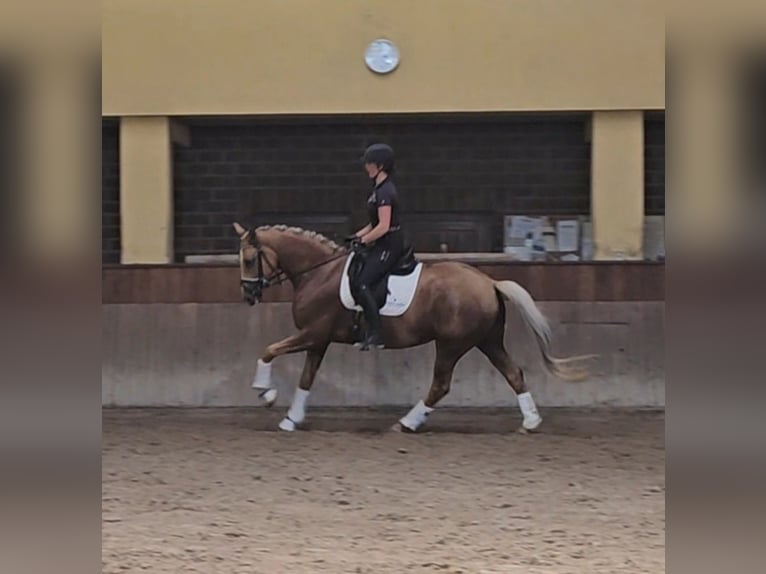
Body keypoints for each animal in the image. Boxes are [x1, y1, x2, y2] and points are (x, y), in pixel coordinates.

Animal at [232, 223, 592, 434]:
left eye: (249, 259)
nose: (248, 295)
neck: (318, 273)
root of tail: (489, 282)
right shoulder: (318, 341)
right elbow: (306, 379)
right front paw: (291, 418)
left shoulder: (312, 334)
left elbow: (268, 351)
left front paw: (266, 393)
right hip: (487, 341)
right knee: (513, 373)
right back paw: (530, 422)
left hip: (451, 344)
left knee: (441, 385)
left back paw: (407, 422)